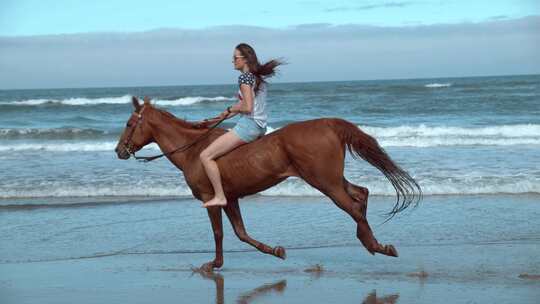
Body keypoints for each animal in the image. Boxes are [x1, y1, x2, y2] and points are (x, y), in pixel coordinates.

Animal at [115, 97, 422, 270]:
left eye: (130, 123)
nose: (119, 151)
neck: (193, 150)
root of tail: (328, 123)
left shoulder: (211, 200)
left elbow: (219, 233)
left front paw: (214, 264)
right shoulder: (231, 198)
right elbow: (240, 233)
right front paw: (276, 251)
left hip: (325, 183)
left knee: (354, 206)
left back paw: (375, 245)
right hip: (331, 180)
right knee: (361, 194)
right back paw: (372, 243)